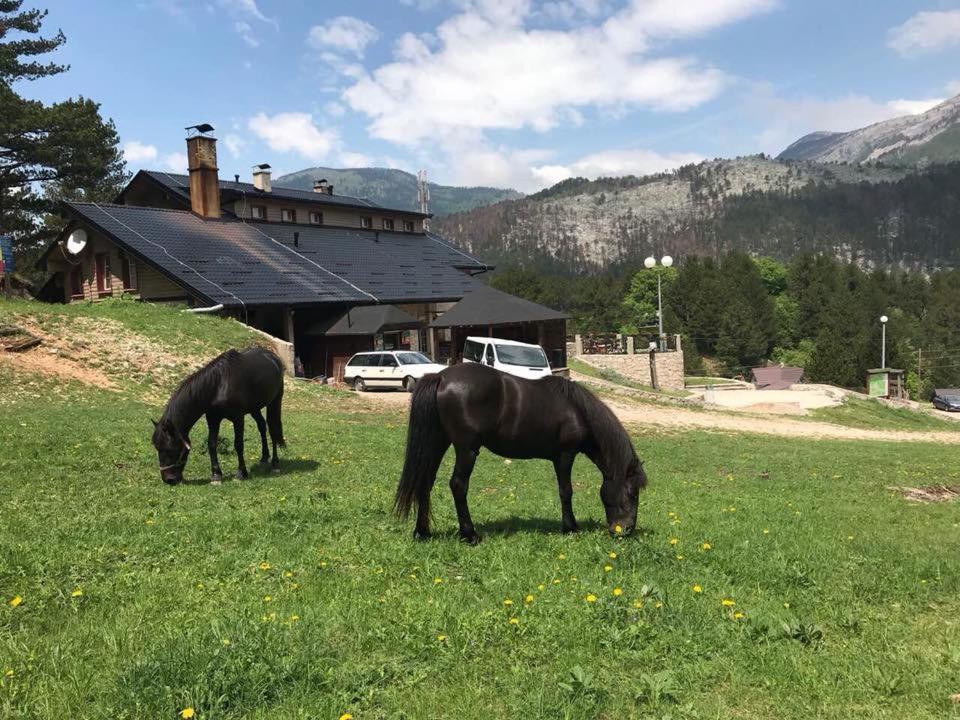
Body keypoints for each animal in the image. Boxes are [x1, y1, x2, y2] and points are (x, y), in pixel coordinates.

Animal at [151, 348, 284, 484]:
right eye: (157, 447)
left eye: (169, 448)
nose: (169, 480)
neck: (218, 385)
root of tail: (272, 356)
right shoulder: (213, 419)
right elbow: (212, 444)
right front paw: (216, 474)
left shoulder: (238, 418)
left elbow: (238, 444)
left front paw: (241, 473)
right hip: (254, 408)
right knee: (262, 426)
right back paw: (264, 457)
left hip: (274, 401)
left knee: (272, 429)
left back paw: (275, 464)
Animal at [394, 362, 648, 544]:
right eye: (633, 494)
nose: (625, 530)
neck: (577, 409)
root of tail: (442, 377)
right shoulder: (565, 455)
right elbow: (566, 491)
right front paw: (571, 528)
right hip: (467, 449)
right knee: (458, 485)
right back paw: (470, 535)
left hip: (438, 442)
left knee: (425, 482)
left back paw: (423, 533)